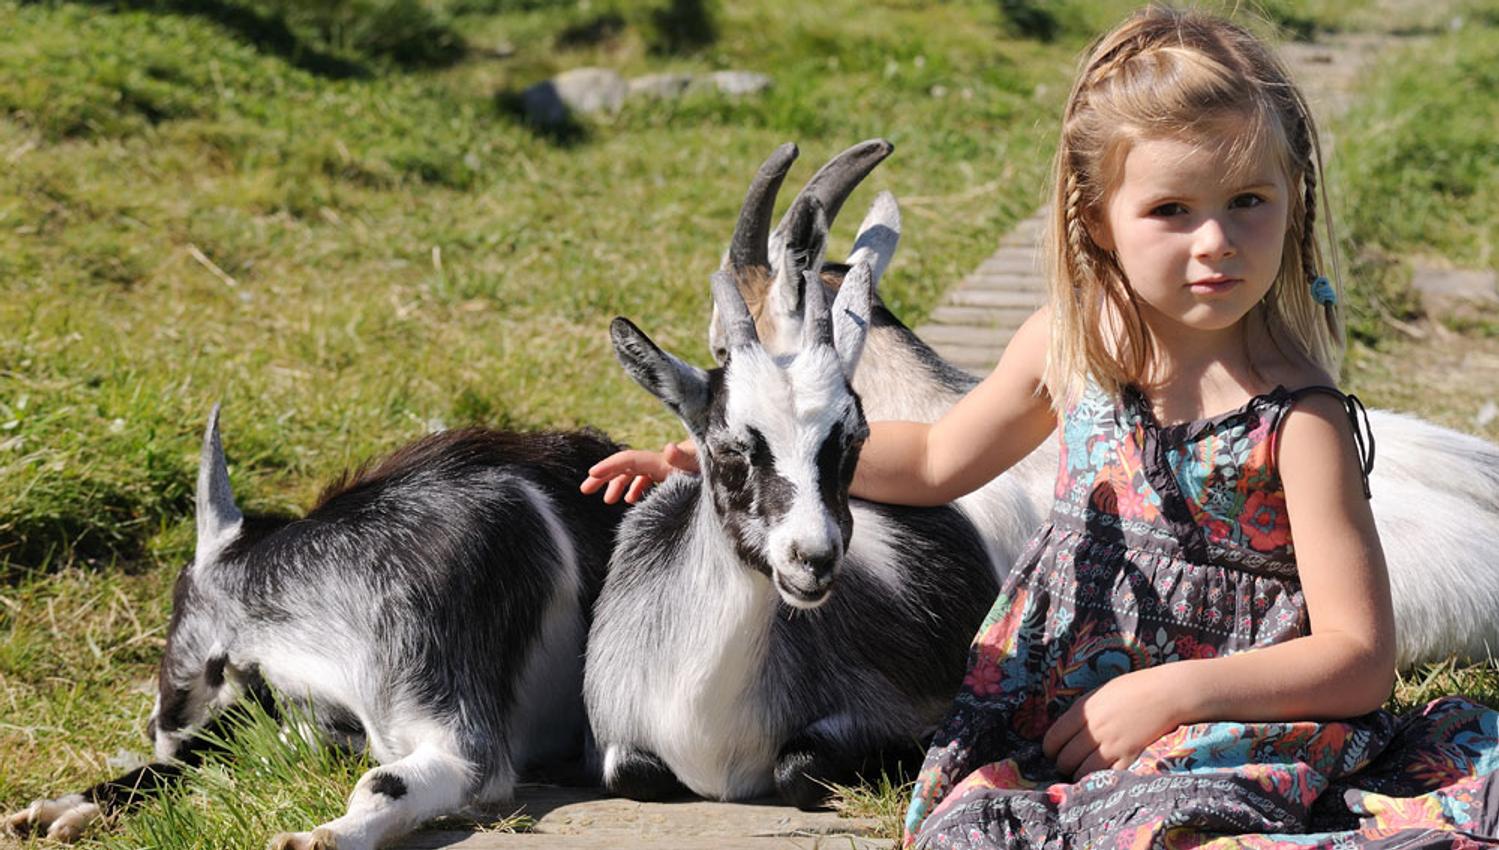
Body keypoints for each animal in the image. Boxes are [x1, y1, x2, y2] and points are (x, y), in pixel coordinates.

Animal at [6, 409, 626, 850]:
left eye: (176, 604)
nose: (156, 724)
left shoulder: (462, 735)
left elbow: (382, 781)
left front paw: (324, 837)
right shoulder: (316, 721)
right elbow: (210, 753)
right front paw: (70, 806)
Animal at [584, 226, 1000, 810]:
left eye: (854, 439)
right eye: (728, 449)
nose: (815, 558)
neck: (712, 735)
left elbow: (797, 770)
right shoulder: (614, 736)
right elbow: (630, 773)